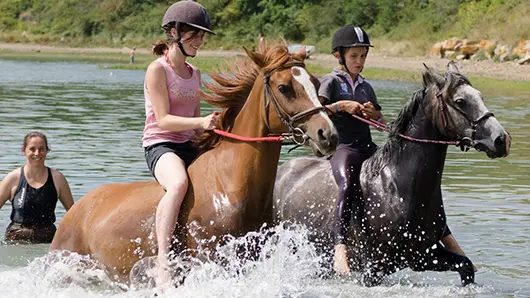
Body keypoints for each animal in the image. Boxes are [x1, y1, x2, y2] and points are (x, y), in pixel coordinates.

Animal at [272, 62, 508, 286]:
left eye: (480, 96)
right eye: (460, 101)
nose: (501, 139)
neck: (398, 187)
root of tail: (283, 170)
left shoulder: (421, 256)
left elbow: (465, 267)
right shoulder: (374, 268)